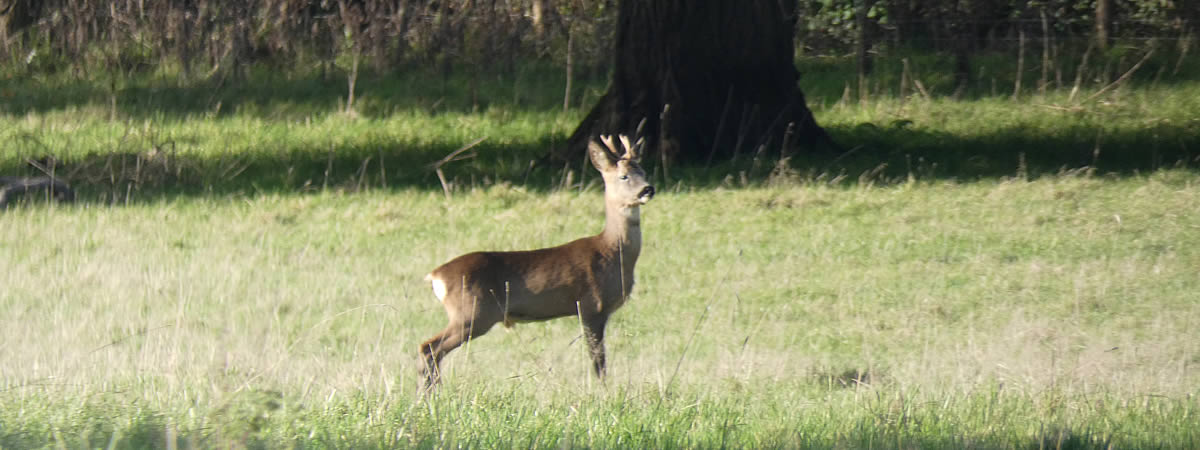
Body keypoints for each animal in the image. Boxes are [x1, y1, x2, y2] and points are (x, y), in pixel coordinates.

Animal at [417, 135, 652, 391]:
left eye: (643, 171)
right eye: (624, 176)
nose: (648, 189)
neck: (612, 252)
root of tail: (435, 275)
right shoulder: (591, 306)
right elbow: (598, 360)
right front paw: (602, 390)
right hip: (471, 313)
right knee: (429, 347)